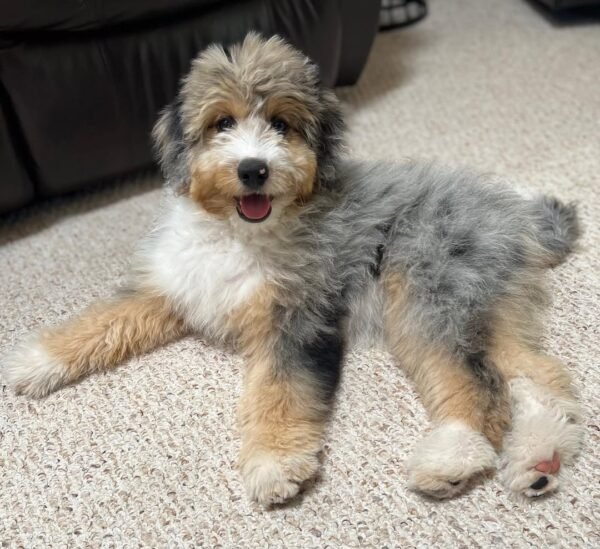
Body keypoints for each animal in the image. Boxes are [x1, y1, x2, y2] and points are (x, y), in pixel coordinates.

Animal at [2, 33, 584, 506]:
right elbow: (104, 319)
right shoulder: (173, 286)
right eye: (222, 123)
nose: (253, 169)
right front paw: (35, 360)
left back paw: (454, 455)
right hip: (482, 301)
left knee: (479, 382)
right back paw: (538, 460)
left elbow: (280, 391)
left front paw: (273, 464)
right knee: (537, 373)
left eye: (281, 125)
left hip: (426, 292)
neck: (239, 235)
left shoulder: (295, 319)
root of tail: (511, 212)